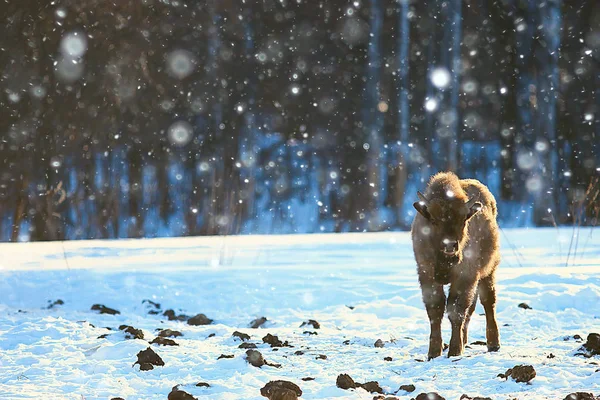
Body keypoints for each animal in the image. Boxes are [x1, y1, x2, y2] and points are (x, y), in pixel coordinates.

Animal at [412, 170, 502, 358]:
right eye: (433, 221)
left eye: (463, 220)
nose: (450, 245)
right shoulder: (426, 275)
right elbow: (436, 309)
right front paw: (434, 352)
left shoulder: (465, 277)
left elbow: (456, 309)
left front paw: (454, 350)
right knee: (472, 308)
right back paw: (465, 340)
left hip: (489, 271)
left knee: (488, 303)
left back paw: (493, 344)